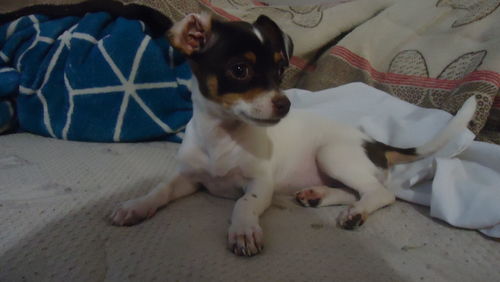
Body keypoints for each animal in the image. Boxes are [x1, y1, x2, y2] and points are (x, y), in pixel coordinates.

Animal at [109, 12, 476, 256]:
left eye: (281, 69)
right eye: (240, 70)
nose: (285, 104)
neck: (223, 136)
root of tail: (375, 142)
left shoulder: (259, 184)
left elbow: (242, 203)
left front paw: (244, 230)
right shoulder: (187, 177)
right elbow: (160, 190)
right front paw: (135, 206)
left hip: (332, 154)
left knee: (379, 193)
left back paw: (354, 213)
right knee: (355, 190)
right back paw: (318, 196)